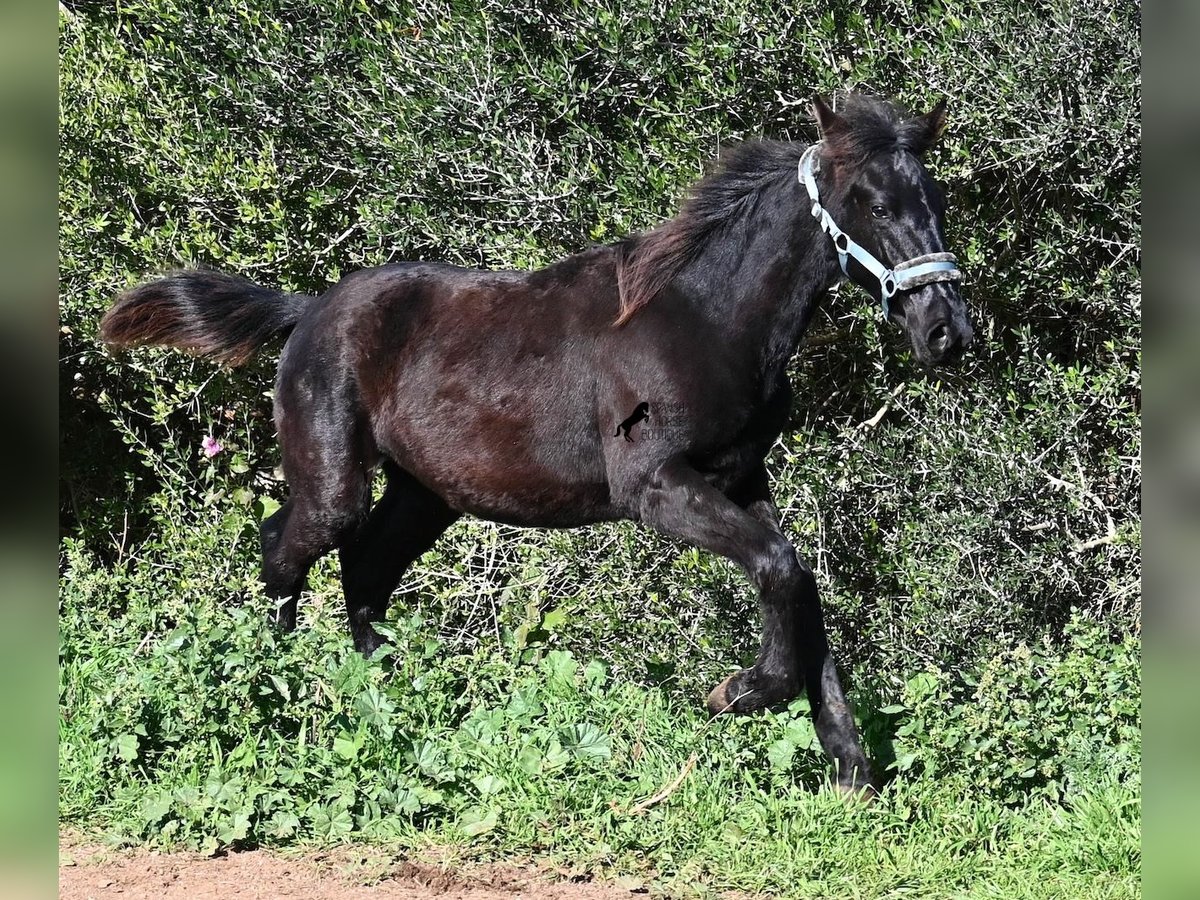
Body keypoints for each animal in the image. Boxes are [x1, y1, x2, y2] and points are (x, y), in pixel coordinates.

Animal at [98, 93, 969, 796]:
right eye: (873, 203)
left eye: (935, 197)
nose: (948, 333)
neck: (706, 316)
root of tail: (307, 310)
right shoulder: (654, 487)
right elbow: (782, 570)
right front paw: (743, 693)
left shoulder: (743, 480)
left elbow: (796, 581)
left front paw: (850, 771)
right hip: (337, 479)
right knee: (287, 548)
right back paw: (273, 692)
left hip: (426, 495)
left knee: (364, 569)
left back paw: (392, 701)